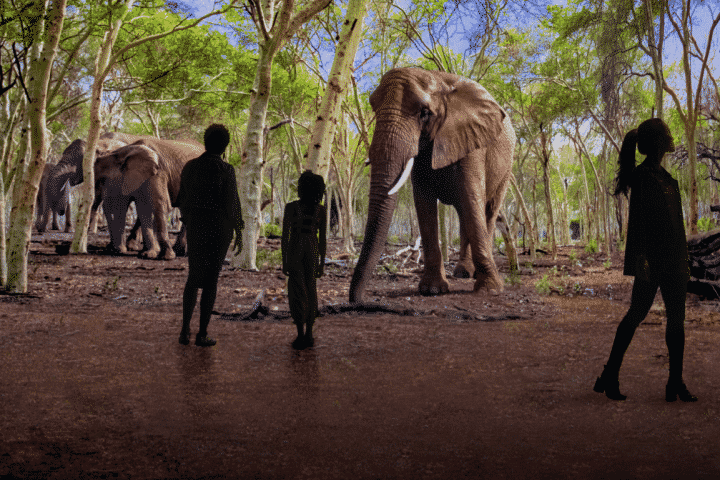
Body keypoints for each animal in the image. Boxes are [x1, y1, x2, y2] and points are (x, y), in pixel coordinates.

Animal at [350, 67, 516, 302]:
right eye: (373, 106)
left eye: (425, 113)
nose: (359, 300)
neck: (440, 79)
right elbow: (424, 204)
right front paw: (432, 290)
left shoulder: (473, 141)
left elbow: (472, 198)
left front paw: (490, 290)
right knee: (464, 214)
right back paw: (463, 273)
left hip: (507, 167)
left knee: (488, 211)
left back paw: (473, 274)